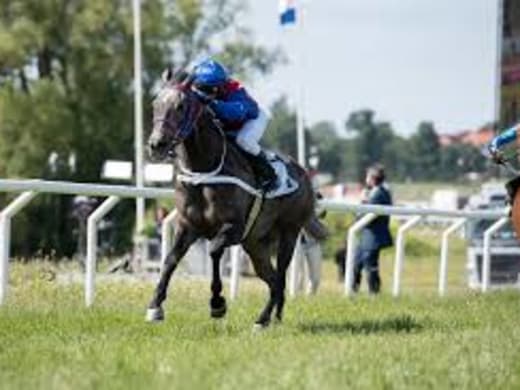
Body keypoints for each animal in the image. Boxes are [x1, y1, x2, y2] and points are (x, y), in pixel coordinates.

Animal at [146, 68, 322, 330]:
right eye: (155, 103)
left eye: (180, 106)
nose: (156, 144)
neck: (205, 171)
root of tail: (304, 174)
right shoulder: (188, 225)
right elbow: (170, 260)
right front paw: (155, 306)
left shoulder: (234, 227)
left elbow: (214, 251)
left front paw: (217, 303)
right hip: (256, 244)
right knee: (272, 279)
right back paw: (273, 316)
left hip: (289, 233)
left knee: (280, 276)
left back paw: (262, 319)